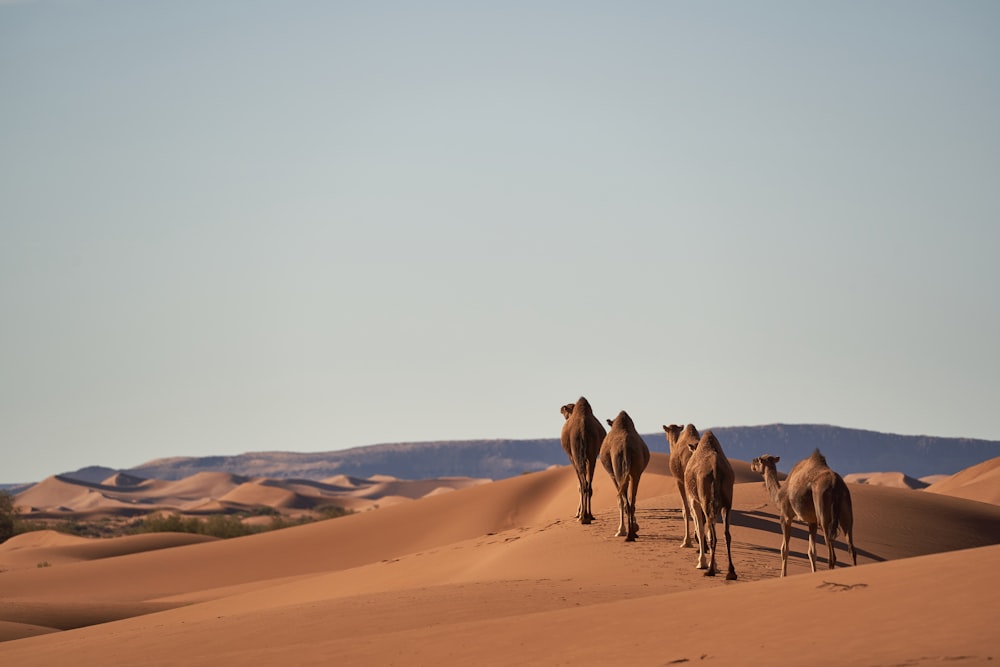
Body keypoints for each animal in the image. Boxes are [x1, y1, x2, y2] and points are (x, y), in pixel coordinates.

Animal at [596, 408, 652, 544]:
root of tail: (626, 448)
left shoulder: (613, 474)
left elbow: (619, 499)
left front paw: (620, 530)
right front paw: (633, 528)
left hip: (619, 472)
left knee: (625, 500)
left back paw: (628, 534)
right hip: (635, 472)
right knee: (632, 501)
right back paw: (632, 534)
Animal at [684, 434, 740, 580]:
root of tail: (715, 468)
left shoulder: (694, 501)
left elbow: (700, 530)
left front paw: (702, 563)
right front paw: (712, 563)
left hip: (706, 501)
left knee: (712, 535)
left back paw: (710, 571)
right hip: (726, 503)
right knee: (726, 534)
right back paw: (731, 572)